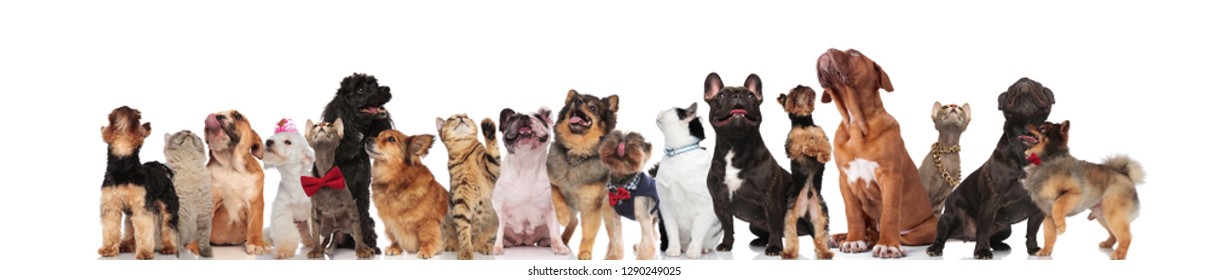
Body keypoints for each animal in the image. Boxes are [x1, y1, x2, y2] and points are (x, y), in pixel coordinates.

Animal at [203, 110, 269, 254]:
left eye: (238, 116)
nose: (217, 116)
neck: (230, 166)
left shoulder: (255, 203)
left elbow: (256, 224)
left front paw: (256, 243)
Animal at [261, 118, 314, 258]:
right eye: (272, 138)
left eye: (287, 142)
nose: (268, 142)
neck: (294, 181)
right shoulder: (282, 211)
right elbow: (285, 232)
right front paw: (283, 250)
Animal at [490, 108, 570, 255]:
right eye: (513, 118)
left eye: (539, 117)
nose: (525, 116)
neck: (526, 162)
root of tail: (524, 241)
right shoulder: (501, 208)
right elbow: (499, 231)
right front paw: (497, 247)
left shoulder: (552, 208)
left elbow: (555, 230)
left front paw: (559, 246)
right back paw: (505, 242)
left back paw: (547, 242)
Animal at [657, 102, 720, 258]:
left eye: (669, 109)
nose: (661, 110)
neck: (678, 154)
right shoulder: (665, 207)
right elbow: (672, 232)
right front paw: (673, 250)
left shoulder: (705, 206)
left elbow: (697, 233)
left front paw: (693, 251)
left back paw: (702, 249)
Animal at [817, 48, 938, 258]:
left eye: (854, 53)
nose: (826, 50)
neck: (856, 124)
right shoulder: (845, 180)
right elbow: (853, 213)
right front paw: (853, 240)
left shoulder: (891, 177)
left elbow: (889, 213)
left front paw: (888, 245)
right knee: (869, 227)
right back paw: (843, 237)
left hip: (926, 229)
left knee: (891, 233)